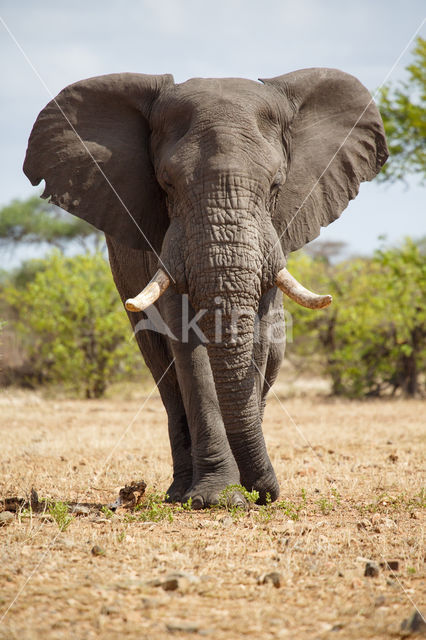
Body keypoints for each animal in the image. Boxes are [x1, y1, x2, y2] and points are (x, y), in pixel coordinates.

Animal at [23, 67, 390, 508]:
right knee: (161, 368)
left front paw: (243, 492)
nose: (266, 492)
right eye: (166, 184)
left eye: (276, 185)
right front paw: (217, 497)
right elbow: (186, 343)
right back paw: (179, 492)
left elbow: (259, 337)